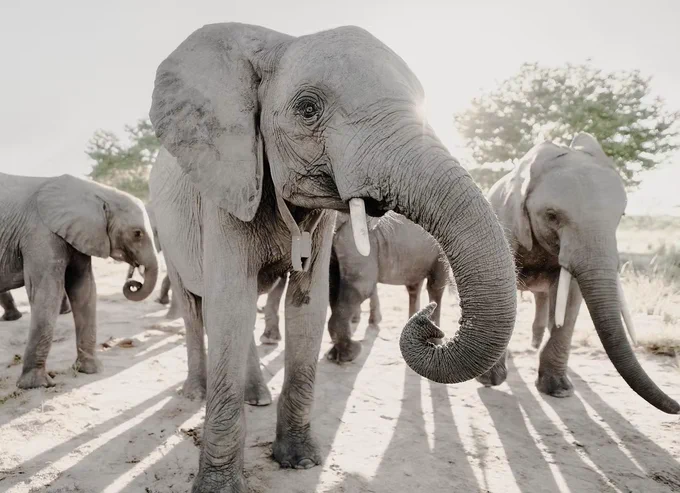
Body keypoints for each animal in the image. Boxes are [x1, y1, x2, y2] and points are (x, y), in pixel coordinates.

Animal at [0, 172, 159, 389]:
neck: (97, 191)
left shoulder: (78, 235)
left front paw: (90, 370)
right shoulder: (40, 235)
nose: (133, 283)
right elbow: (47, 293)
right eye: (137, 233)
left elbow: (84, 290)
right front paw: (36, 385)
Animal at [148, 23, 517, 491]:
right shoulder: (227, 189)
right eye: (308, 109)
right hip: (166, 230)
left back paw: (257, 397)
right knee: (196, 310)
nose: (430, 323)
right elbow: (230, 304)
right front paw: (219, 488)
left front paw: (301, 461)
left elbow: (307, 304)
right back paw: (195, 392)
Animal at [476, 134, 679, 415]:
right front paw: (490, 379)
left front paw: (559, 390)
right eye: (551, 215)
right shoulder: (505, 222)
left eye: (621, 215)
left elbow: (571, 298)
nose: (677, 406)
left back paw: (534, 345)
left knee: (544, 299)